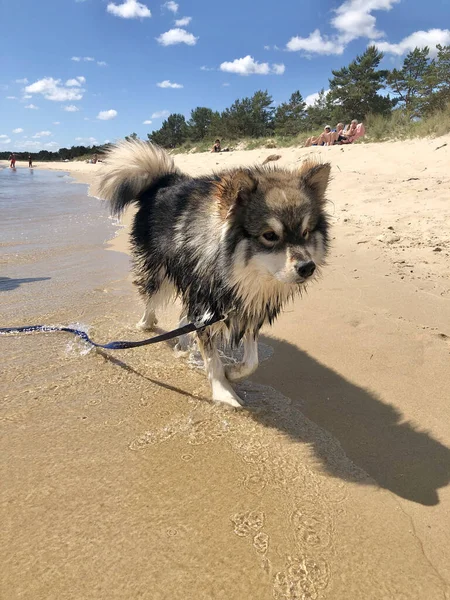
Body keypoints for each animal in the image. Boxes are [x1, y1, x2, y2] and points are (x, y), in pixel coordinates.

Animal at [97, 139, 330, 408]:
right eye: (270, 235)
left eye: (306, 232)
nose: (307, 267)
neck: (240, 275)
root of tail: (165, 180)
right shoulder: (207, 303)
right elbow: (212, 358)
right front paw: (223, 391)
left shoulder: (246, 307)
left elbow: (252, 361)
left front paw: (233, 372)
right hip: (161, 272)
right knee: (151, 297)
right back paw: (145, 324)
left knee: (182, 316)